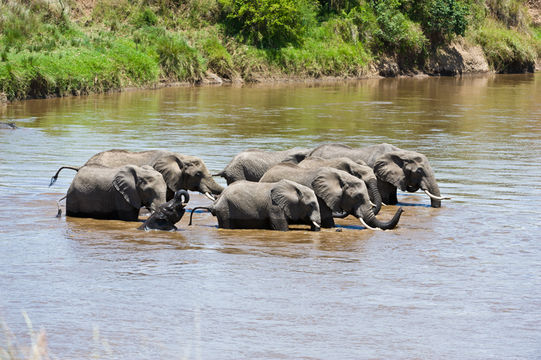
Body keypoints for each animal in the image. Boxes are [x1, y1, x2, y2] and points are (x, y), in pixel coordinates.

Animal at [189, 179, 320, 232]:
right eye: (311, 205)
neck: (295, 187)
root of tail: (216, 202)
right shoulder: (274, 207)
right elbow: (280, 227)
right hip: (225, 209)